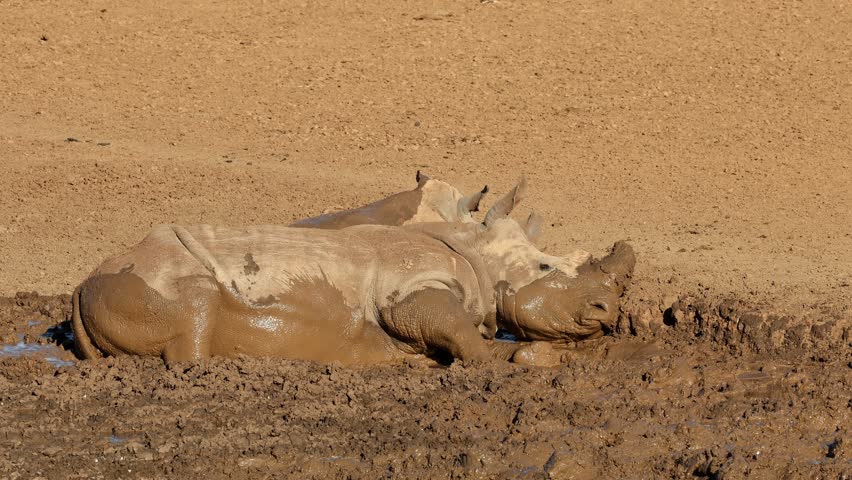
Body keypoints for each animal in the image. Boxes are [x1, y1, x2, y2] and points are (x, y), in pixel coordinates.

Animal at [71, 180, 635, 365]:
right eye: (545, 266)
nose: (609, 309)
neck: (476, 254)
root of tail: (78, 287)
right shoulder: (408, 287)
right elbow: (451, 326)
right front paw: (503, 360)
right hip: (148, 274)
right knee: (197, 303)